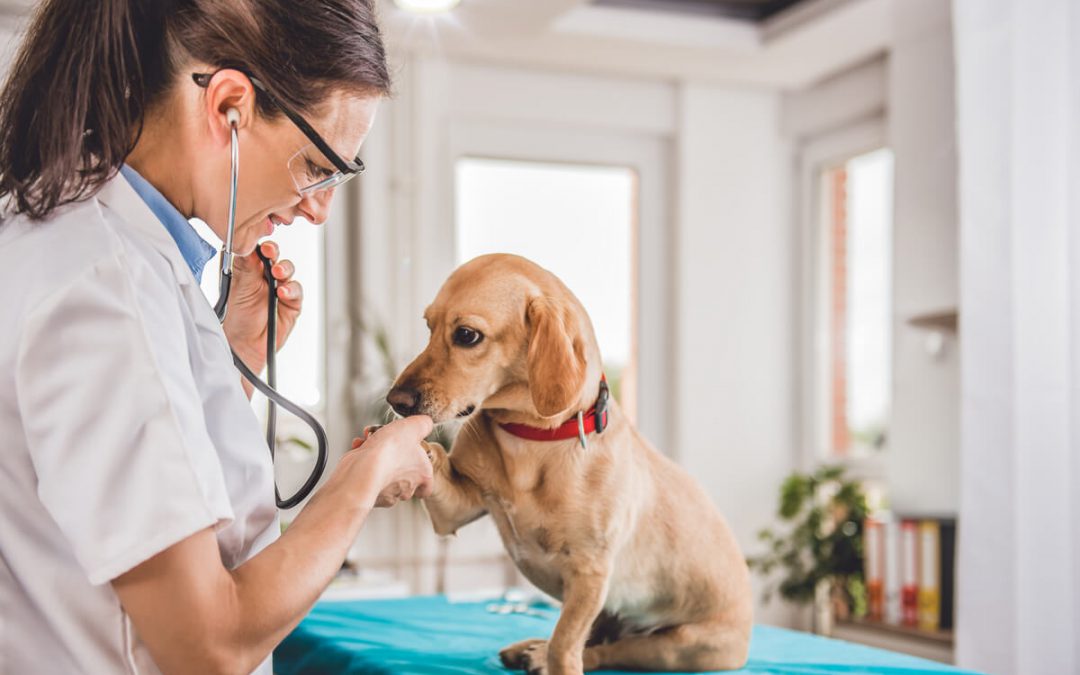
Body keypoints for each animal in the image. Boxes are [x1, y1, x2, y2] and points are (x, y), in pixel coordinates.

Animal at [388, 253, 751, 673]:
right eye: (428, 326)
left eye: (466, 335)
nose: (395, 401)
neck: (530, 440)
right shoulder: (455, 510)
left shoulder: (588, 574)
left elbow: (565, 645)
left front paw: (554, 658)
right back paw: (532, 648)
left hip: (682, 646)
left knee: (605, 650)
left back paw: (543, 654)